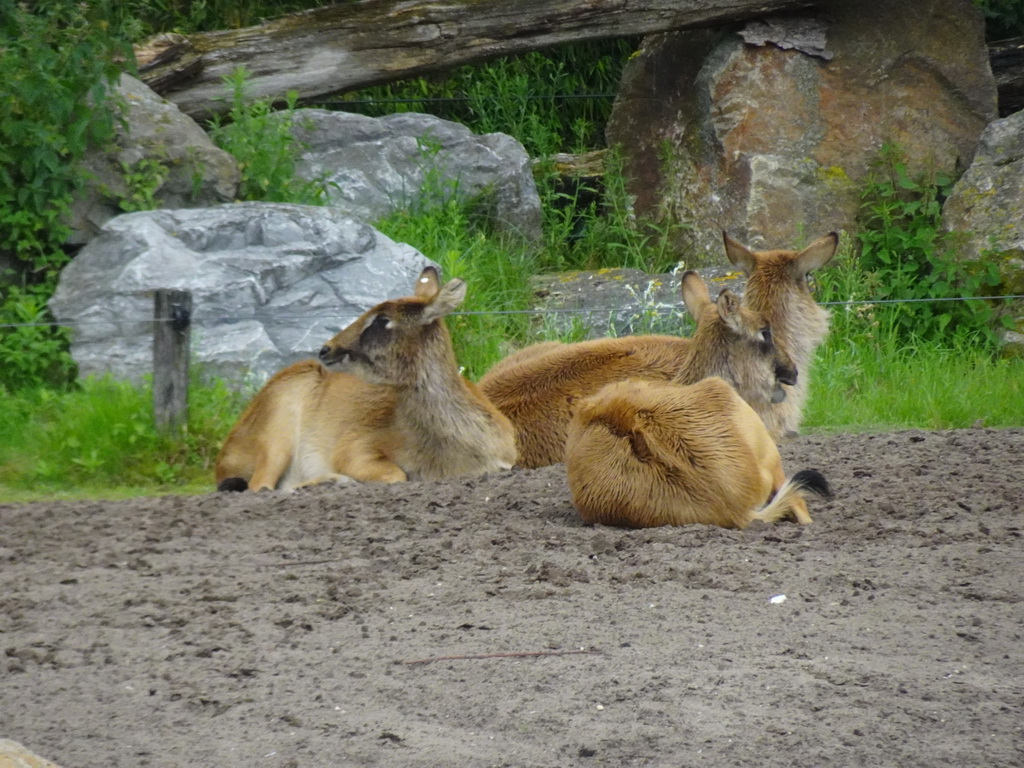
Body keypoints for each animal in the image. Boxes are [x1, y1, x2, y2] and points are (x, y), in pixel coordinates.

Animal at [217, 266, 520, 493]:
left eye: (382, 319)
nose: (327, 349)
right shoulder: (355, 448)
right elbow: (397, 475)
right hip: (278, 437)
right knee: (261, 487)